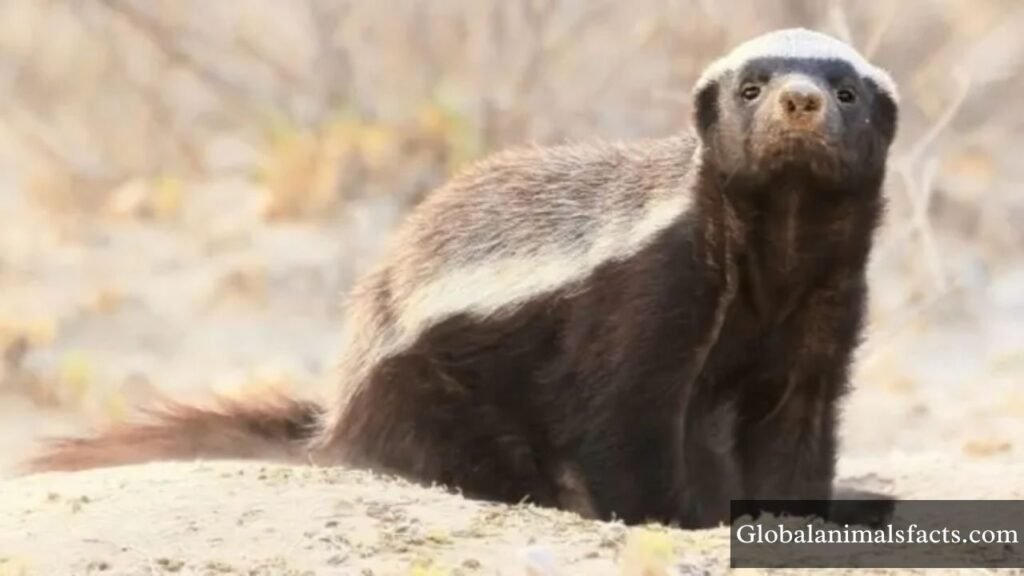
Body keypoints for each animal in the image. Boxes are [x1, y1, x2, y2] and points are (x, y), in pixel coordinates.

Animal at [26, 28, 899, 529]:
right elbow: (626, 417)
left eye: (845, 92)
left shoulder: (825, 302)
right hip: (434, 389)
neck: (779, 240)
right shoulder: (649, 292)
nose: (798, 101)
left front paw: (804, 513)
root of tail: (335, 420)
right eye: (750, 89)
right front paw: (675, 518)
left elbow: (794, 423)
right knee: (472, 452)